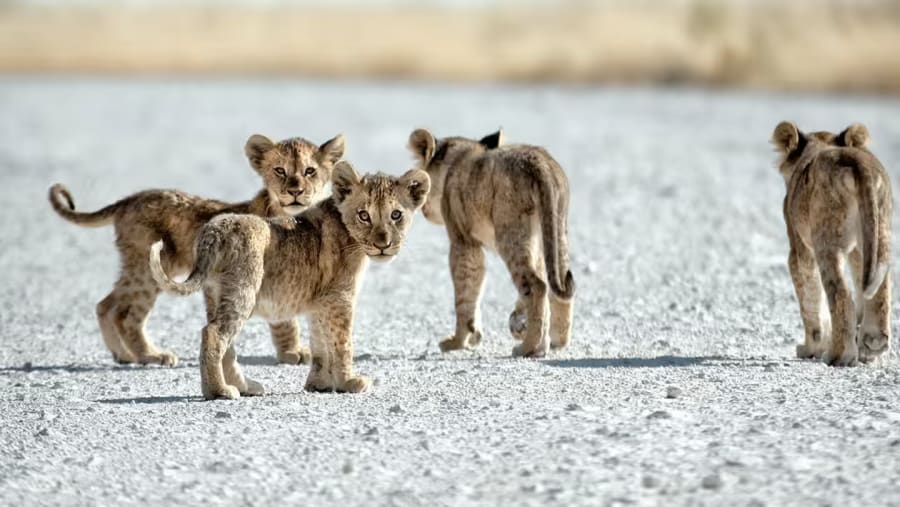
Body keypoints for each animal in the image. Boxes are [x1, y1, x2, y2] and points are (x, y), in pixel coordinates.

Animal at [48, 133, 345, 367]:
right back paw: (151, 356)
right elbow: (285, 320)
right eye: (280, 170)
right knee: (128, 315)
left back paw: (123, 355)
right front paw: (292, 352)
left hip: (141, 267)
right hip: (151, 267)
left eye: (309, 171)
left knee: (106, 304)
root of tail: (129, 200)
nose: (295, 191)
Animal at [148, 161, 430, 400]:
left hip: (216, 294)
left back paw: (244, 386)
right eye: (364, 215)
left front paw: (319, 384)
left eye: (396, 215)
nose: (384, 245)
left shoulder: (321, 302)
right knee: (214, 333)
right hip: (243, 289)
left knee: (225, 341)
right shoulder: (340, 298)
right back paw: (218, 391)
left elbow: (321, 345)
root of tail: (214, 229)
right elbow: (342, 343)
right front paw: (350, 382)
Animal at [407, 128, 575, 358]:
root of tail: (540, 163)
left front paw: (459, 341)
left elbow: (465, 294)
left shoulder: (463, 241)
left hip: (510, 233)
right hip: (556, 229)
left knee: (537, 285)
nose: (422, 210)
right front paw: (518, 321)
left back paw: (528, 347)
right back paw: (554, 341)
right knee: (556, 284)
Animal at [773, 121, 892, 366]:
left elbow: (809, 297)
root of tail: (855, 160)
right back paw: (873, 344)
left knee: (841, 294)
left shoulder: (799, 247)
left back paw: (838, 355)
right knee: (880, 288)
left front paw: (811, 348)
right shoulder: (858, 247)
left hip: (826, 240)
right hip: (878, 229)